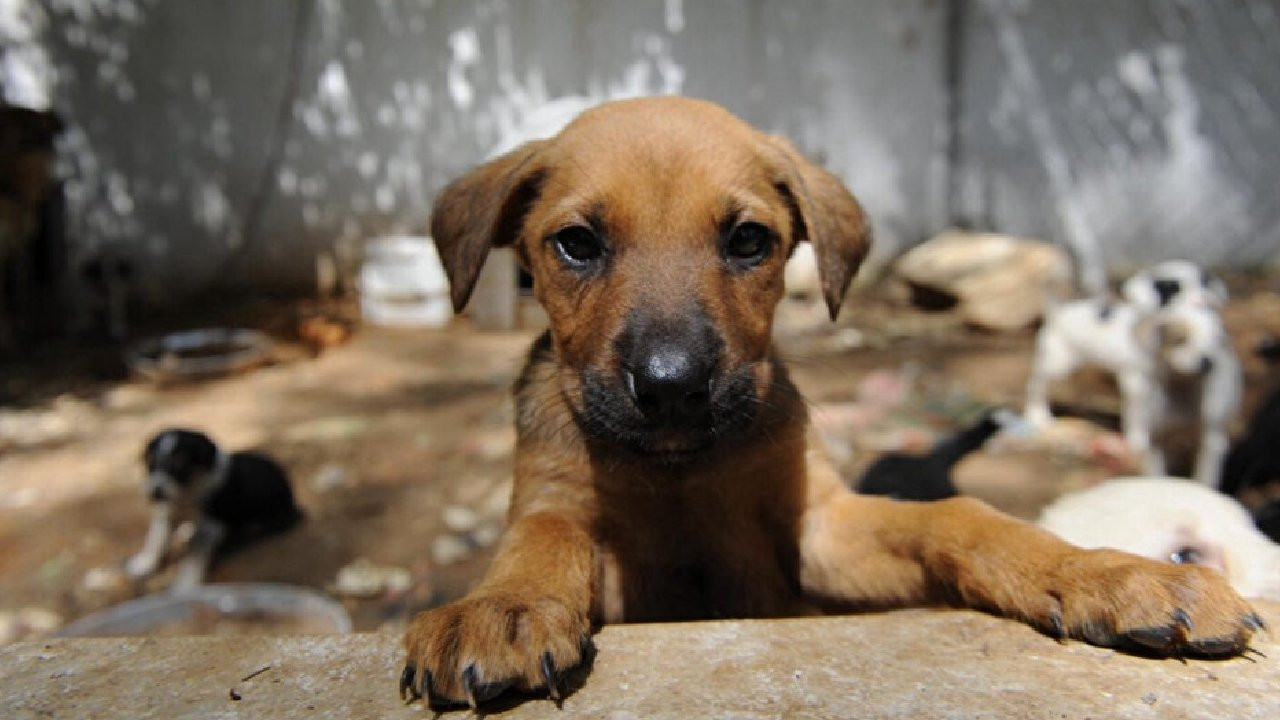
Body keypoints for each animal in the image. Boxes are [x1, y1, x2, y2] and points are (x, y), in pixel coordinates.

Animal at [126, 425, 302, 589]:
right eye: (151, 464)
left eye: (180, 465)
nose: (155, 493)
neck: (189, 492)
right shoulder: (168, 514)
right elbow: (156, 540)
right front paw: (144, 564)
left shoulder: (211, 527)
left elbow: (193, 558)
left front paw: (185, 585)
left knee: (253, 528)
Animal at [1018, 280, 1239, 481]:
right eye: (1180, 340)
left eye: (1219, 341)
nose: (1208, 362)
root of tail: (1058, 312)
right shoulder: (1136, 383)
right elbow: (1138, 418)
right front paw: (1136, 441)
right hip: (1059, 363)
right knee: (1036, 386)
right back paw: (1039, 414)